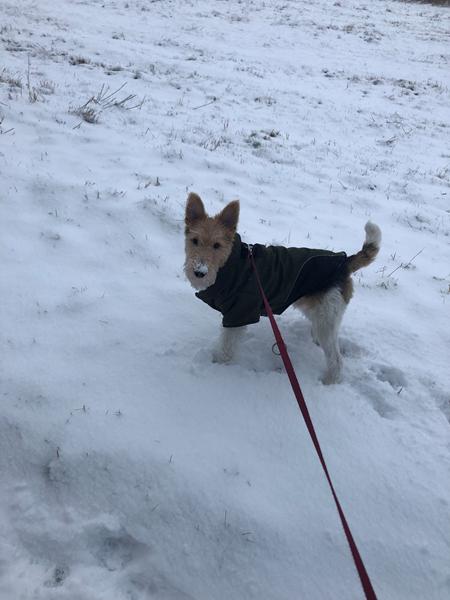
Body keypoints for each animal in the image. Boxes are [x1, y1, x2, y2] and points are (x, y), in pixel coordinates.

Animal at [185, 192, 382, 384]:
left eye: (217, 245)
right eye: (194, 241)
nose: (199, 272)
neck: (232, 264)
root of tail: (344, 261)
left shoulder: (238, 314)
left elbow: (227, 345)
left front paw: (217, 364)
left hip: (325, 318)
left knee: (336, 359)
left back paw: (329, 381)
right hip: (321, 314)